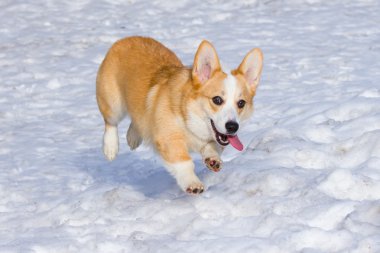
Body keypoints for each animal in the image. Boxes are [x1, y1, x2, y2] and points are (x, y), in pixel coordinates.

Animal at [96, 36, 262, 194]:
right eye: (217, 100)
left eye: (241, 103)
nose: (233, 127)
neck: (191, 117)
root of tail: (123, 40)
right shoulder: (169, 138)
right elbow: (184, 161)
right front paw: (192, 183)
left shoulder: (215, 139)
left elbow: (213, 147)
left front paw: (213, 159)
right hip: (113, 103)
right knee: (110, 122)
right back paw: (110, 147)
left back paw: (133, 138)